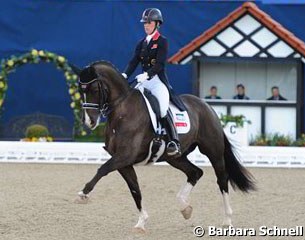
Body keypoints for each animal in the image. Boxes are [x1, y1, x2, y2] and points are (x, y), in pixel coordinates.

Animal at [71, 60, 254, 232]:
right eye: (80, 90)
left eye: (94, 90)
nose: (89, 122)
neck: (122, 111)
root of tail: (207, 106)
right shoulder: (123, 162)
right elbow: (134, 189)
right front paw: (141, 222)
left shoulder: (125, 155)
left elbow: (102, 169)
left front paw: (83, 194)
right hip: (175, 157)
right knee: (195, 172)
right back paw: (185, 207)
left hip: (213, 152)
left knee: (222, 179)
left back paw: (227, 220)